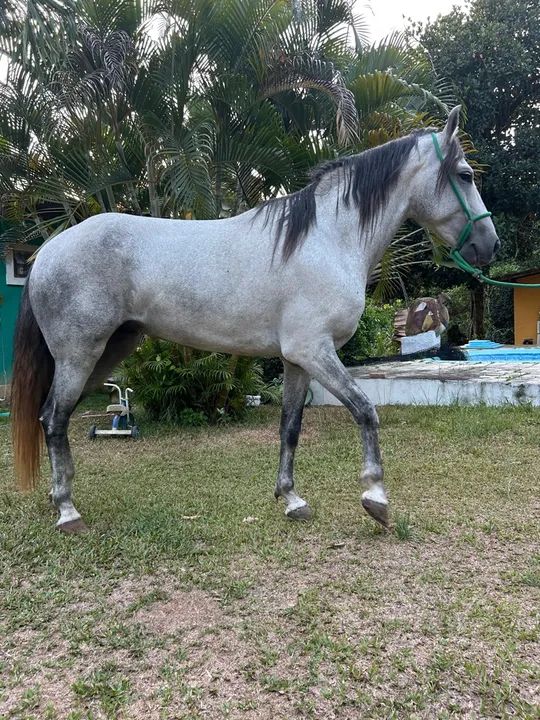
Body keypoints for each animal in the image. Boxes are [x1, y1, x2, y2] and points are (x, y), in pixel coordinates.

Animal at [10, 105, 499, 533]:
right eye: (465, 175)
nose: (489, 245)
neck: (326, 238)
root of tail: (47, 250)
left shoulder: (297, 359)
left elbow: (290, 427)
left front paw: (292, 499)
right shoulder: (315, 351)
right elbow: (365, 411)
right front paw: (375, 498)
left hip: (107, 353)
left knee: (55, 417)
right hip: (80, 355)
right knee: (53, 418)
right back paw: (67, 511)